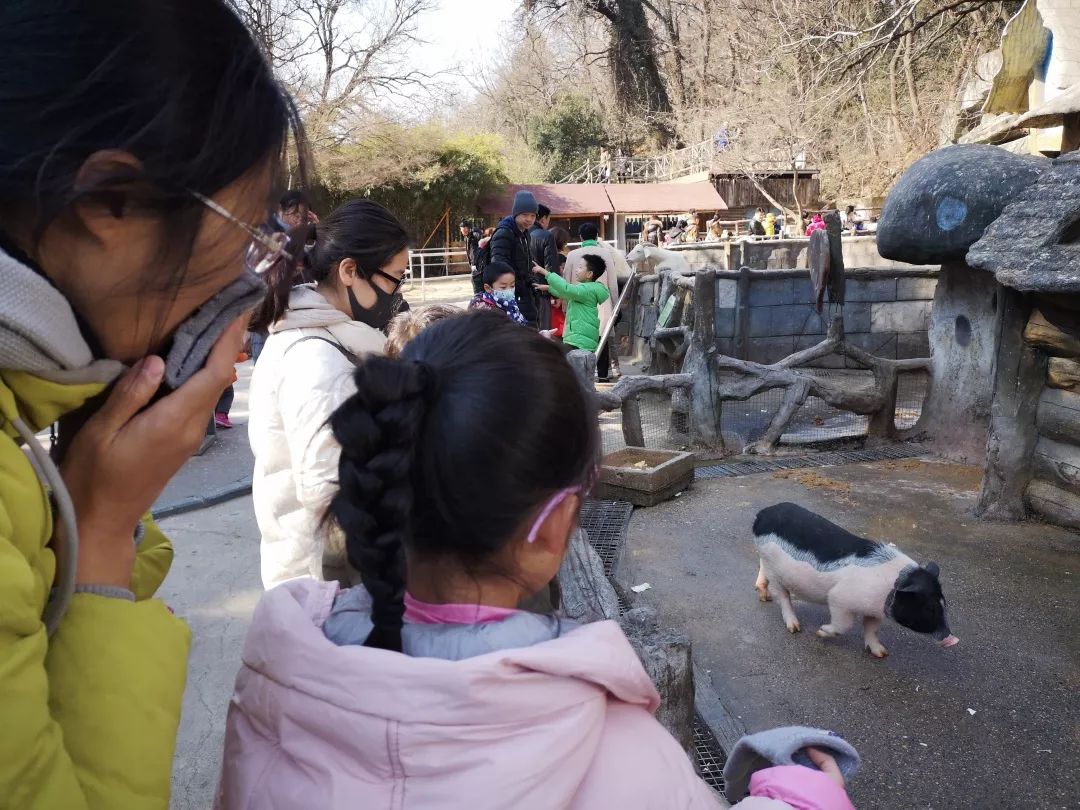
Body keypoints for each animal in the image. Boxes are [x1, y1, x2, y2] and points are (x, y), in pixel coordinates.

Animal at [756, 507, 959, 660]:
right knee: (783, 597)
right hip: (775, 572)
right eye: (929, 608)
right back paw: (794, 628)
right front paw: (820, 632)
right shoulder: (838, 599)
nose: (952, 639)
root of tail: (761, 515)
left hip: (767, 564)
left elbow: (872, 630)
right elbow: (843, 625)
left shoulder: (874, 612)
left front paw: (882, 653)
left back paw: (764, 596)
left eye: (944, 604)